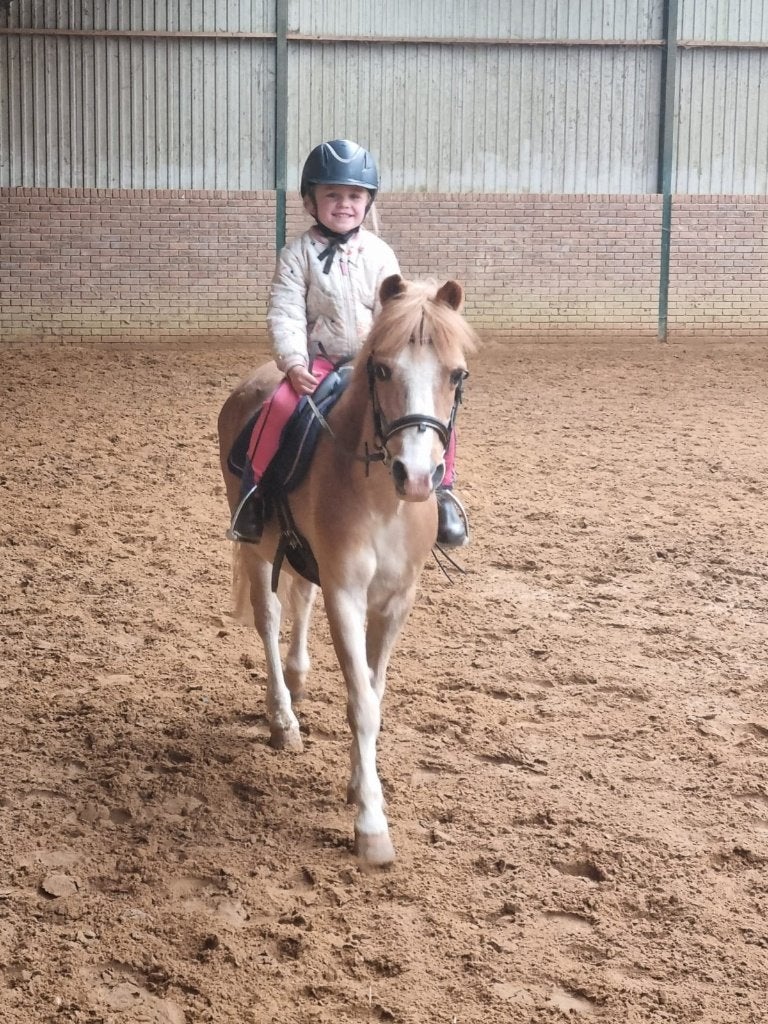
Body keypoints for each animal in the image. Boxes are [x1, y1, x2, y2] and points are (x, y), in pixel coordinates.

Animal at [217, 274, 477, 865]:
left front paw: (360, 784)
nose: (417, 476)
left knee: (299, 602)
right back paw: (283, 718)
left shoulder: (397, 600)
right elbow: (362, 702)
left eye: (456, 375)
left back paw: (298, 679)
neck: (385, 503)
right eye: (381, 369)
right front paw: (371, 824)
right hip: (257, 549)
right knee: (269, 618)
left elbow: (374, 695)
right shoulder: (347, 595)